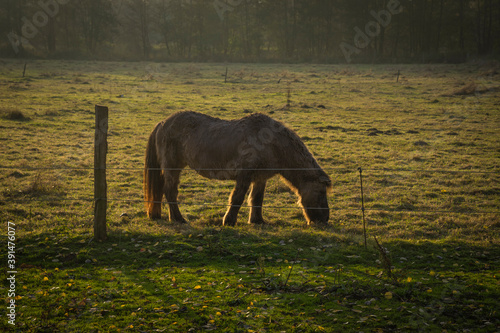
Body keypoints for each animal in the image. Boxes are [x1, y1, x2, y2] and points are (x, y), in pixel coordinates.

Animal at [145, 111, 332, 226]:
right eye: (321, 192)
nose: (324, 220)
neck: (273, 143)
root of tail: (162, 123)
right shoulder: (244, 176)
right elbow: (237, 198)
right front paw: (229, 221)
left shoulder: (260, 178)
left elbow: (256, 199)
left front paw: (257, 220)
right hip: (173, 168)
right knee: (170, 192)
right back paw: (179, 219)